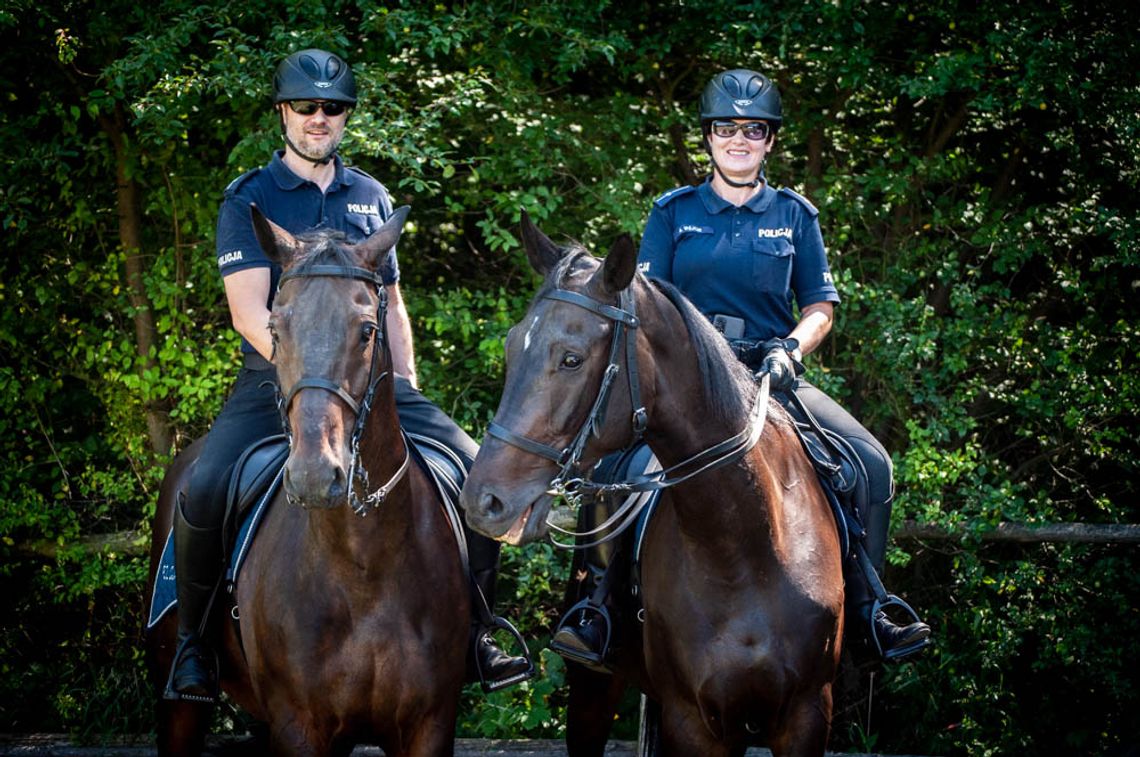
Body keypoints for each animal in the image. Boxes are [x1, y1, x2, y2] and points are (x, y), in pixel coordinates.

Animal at [145, 204, 467, 752]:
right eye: (275, 330)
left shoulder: (430, 725)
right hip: (178, 704)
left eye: (367, 330)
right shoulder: (297, 726)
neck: (362, 562)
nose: (316, 476)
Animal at [458, 214, 843, 756]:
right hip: (593, 689)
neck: (745, 541)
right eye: (513, 348)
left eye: (572, 359)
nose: (483, 501)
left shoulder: (808, 713)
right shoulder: (694, 722)